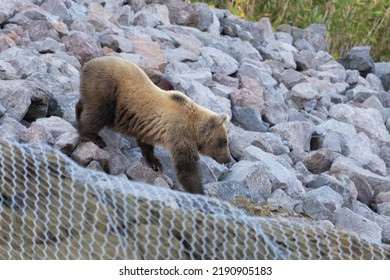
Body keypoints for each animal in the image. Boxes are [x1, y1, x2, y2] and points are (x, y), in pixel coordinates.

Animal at [75, 55, 232, 194]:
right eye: (224, 141)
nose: (228, 159)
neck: (193, 126)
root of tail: (88, 64)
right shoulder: (179, 132)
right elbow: (186, 167)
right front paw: (198, 191)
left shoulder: (148, 126)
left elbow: (146, 144)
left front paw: (155, 163)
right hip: (108, 87)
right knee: (99, 111)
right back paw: (93, 136)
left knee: (85, 104)